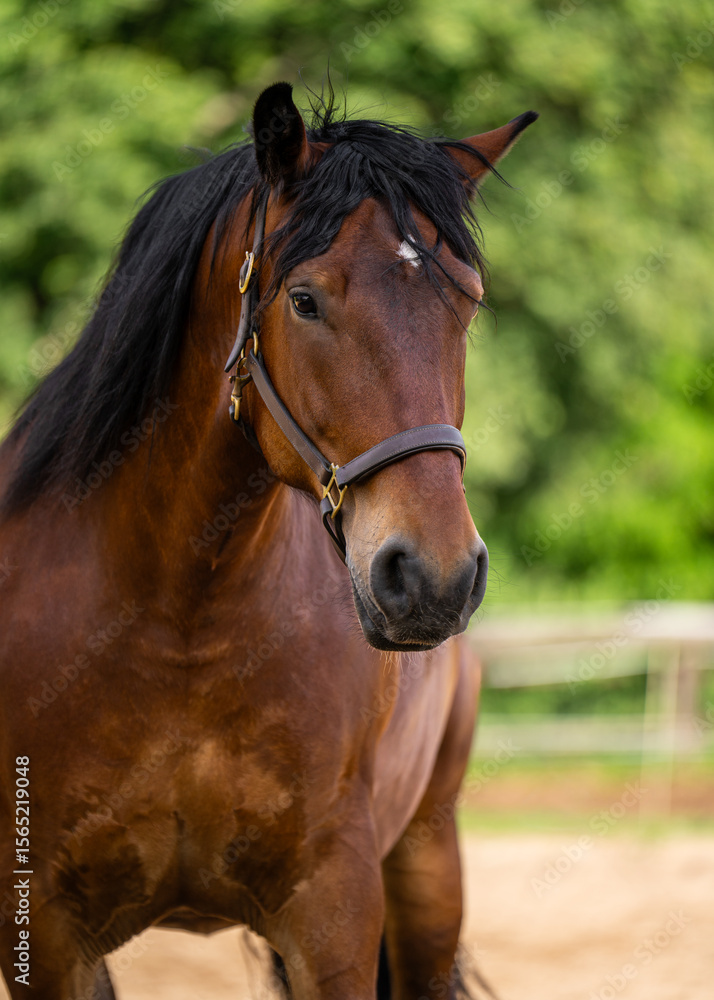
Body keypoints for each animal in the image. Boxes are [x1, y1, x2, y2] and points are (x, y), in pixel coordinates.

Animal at [0, 81, 535, 999]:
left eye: (465, 302)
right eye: (305, 300)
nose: (433, 579)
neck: (179, 618)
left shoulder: (333, 915)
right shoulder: (46, 934)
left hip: (429, 862)